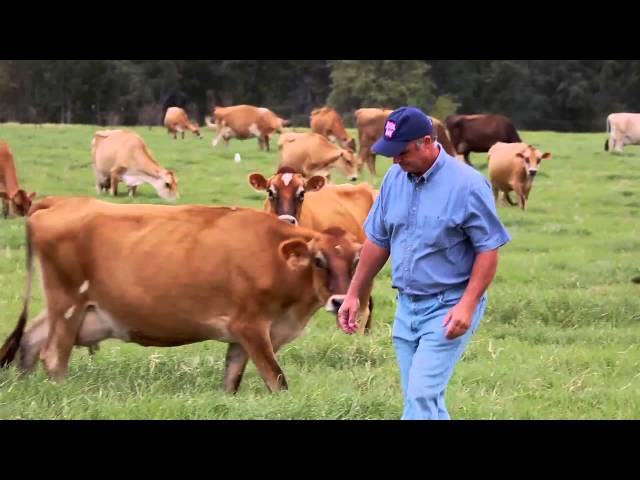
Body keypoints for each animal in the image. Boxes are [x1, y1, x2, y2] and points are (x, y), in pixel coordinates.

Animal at [0, 196, 364, 392]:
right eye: (318, 260)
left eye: (356, 262)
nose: (339, 301)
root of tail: (61, 201)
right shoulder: (251, 326)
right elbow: (277, 380)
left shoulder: (240, 337)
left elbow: (230, 381)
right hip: (67, 304)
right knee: (53, 356)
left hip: (71, 309)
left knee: (29, 343)